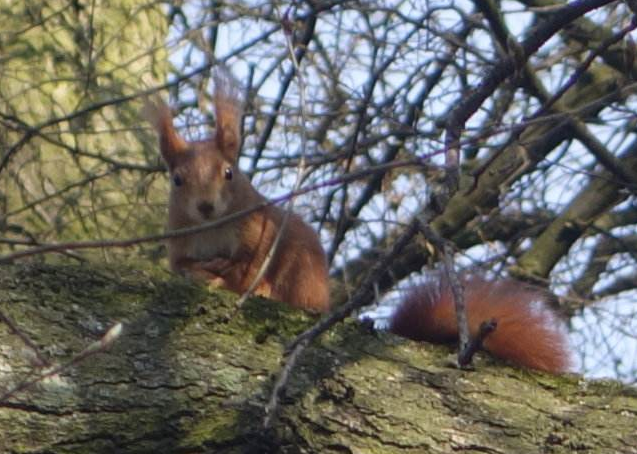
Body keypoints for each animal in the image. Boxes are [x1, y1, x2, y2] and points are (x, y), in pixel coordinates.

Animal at [145, 70, 330, 312]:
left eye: (229, 172)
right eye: (177, 179)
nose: (206, 206)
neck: (212, 227)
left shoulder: (258, 230)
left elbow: (248, 268)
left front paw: (222, 271)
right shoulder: (179, 241)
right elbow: (183, 264)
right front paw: (199, 272)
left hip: (304, 269)